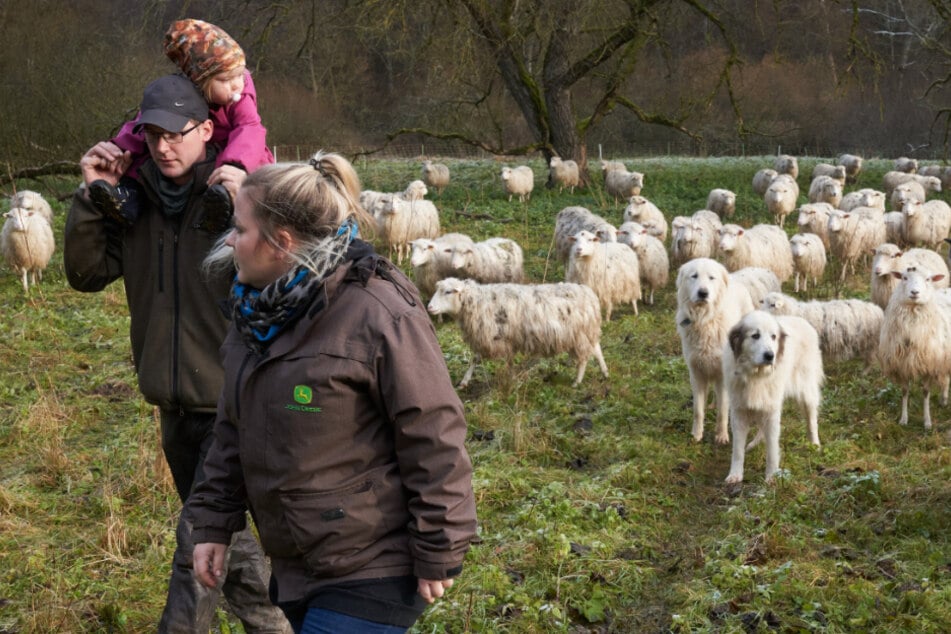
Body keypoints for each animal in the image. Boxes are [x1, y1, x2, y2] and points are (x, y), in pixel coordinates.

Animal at [426, 276, 608, 386]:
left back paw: (577, 381)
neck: (476, 301)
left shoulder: (495, 335)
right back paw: (605, 372)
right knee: (597, 349)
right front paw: (465, 381)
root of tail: (590, 294)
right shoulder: (504, 337)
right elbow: (484, 359)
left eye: (448, 292)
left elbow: (481, 358)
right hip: (585, 332)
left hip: (581, 333)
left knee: (585, 357)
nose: (429, 307)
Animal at [720, 308, 824, 482]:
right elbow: (738, 451)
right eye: (755, 335)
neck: (756, 375)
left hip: (806, 392)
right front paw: (735, 475)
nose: (770, 356)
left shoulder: (772, 411)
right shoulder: (739, 413)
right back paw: (754, 443)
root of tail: (802, 320)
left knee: (812, 422)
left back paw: (815, 445)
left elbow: (772, 449)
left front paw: (771, 477)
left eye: (773, 337)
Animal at [876, 266, 951, 430]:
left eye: (928, 279)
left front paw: (927, 421)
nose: (914, 292)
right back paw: (943, 399)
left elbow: (926, 392)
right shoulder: (902, 365)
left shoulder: (930, 363)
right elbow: (904, 391)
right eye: (904, 277)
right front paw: (903, 419)